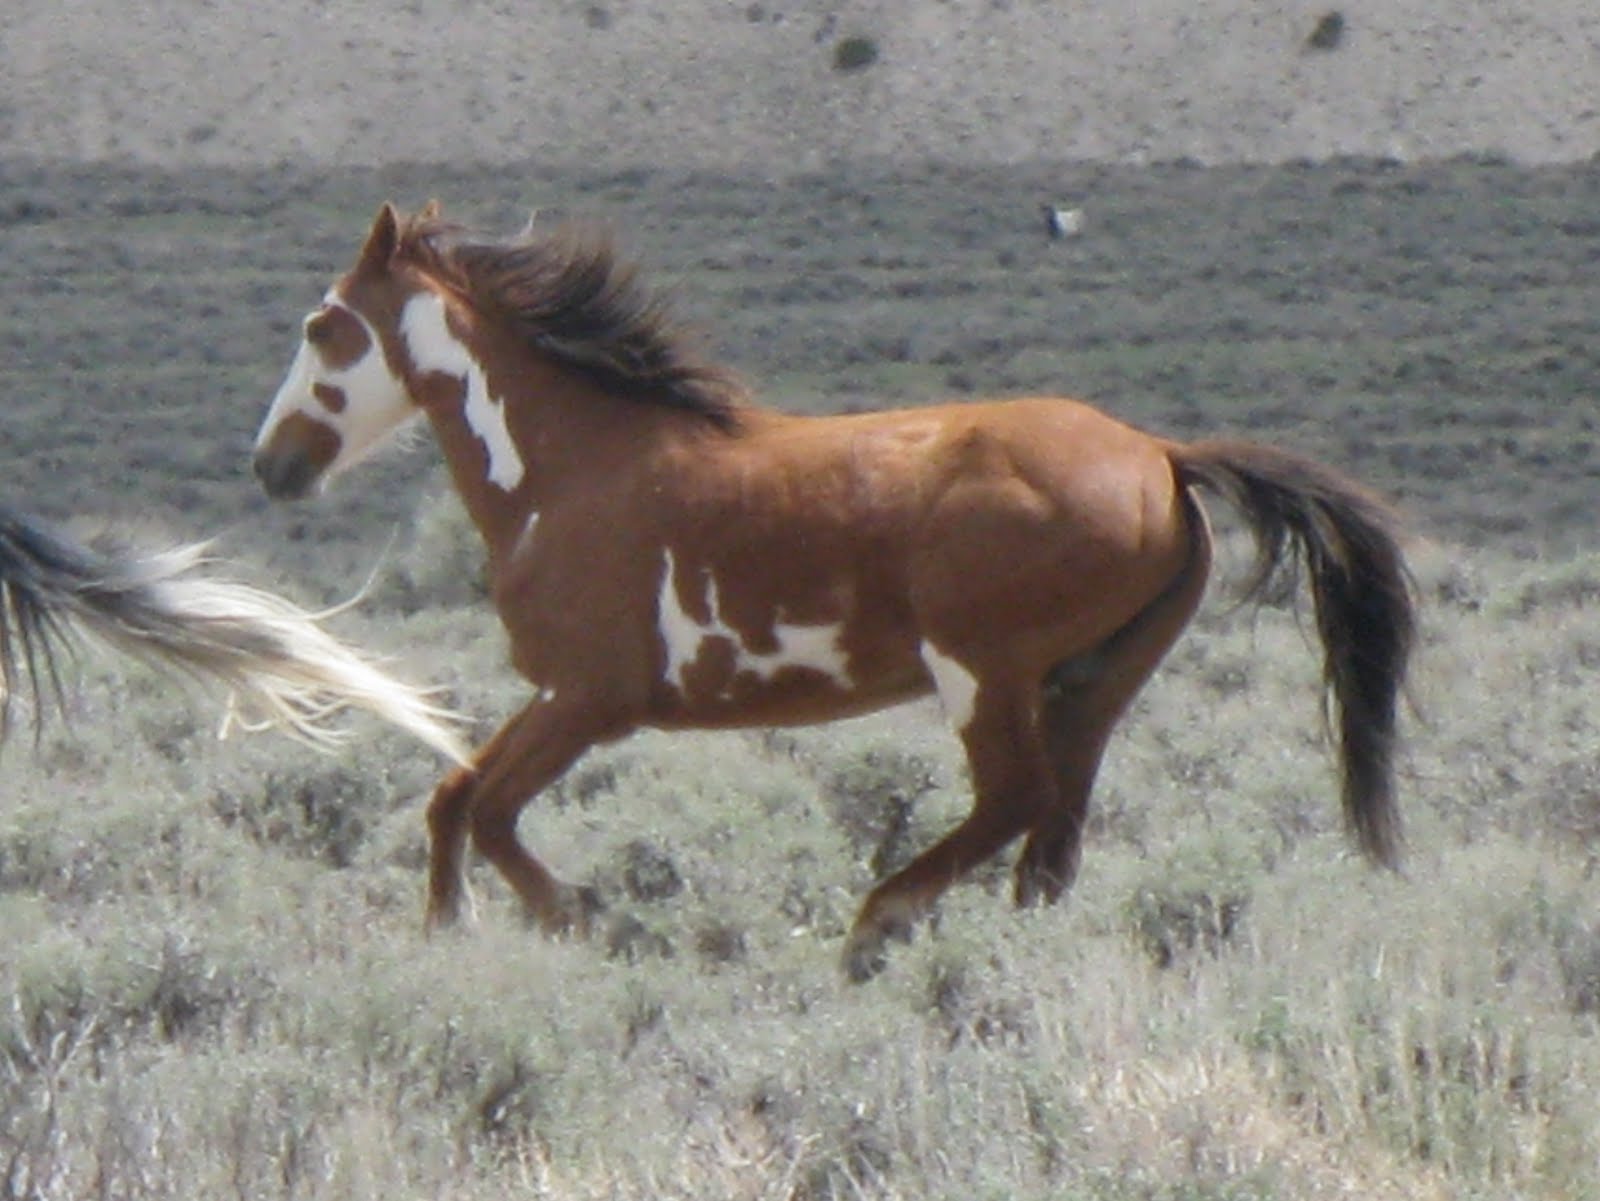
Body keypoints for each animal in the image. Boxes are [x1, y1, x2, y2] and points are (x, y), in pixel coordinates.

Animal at [251, 202, 1416, 980]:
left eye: (322, 326)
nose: (272, 465)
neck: (573, 468)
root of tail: (1164, 460)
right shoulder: (559, 700)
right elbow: (453, 799)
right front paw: (449, 931)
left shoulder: (588, 700)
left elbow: (488, 811)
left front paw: (585, 917)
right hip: (1094, 680)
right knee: (1052, 838)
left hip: (983, 669)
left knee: (1014, 801)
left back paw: (873, 926)